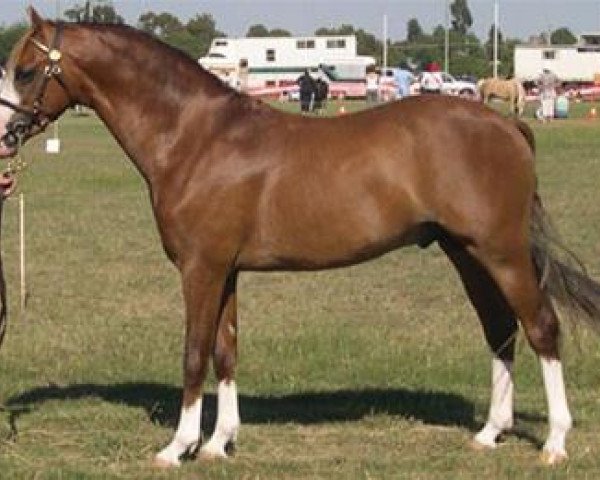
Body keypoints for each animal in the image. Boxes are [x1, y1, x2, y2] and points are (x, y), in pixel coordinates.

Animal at [1, 8, 600, 468]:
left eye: (26, 71)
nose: (5, 138)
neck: (195, 137)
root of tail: (506, 125)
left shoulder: (200, 268)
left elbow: (195, 352)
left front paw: (178, 447)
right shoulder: (226, 270)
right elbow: (226, 351)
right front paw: (219, 443)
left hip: (502, 252)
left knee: (541, 327)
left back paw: (554, 442)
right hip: (467, 253)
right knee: (500, 329)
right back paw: (490, 433)